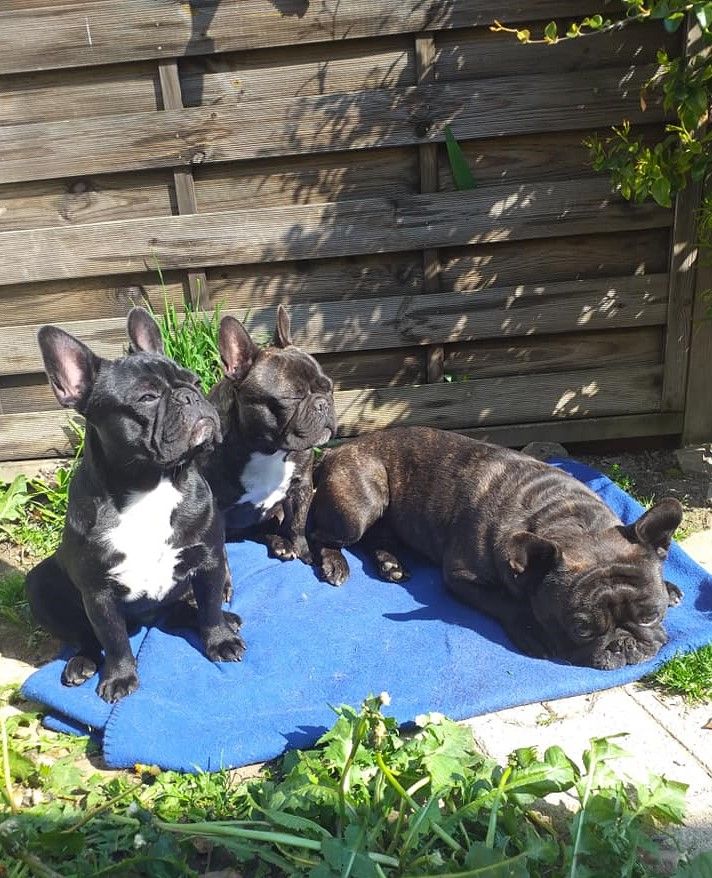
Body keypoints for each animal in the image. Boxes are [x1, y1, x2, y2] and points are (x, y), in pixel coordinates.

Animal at [310, 426, 684, 668]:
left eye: (652, 615)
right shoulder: (462, 576)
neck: (566, 517)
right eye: (581, 629)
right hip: (360, 507)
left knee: (377, 537)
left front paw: (669, 586)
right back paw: (334, 563)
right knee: (317, 532)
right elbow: (506, 602)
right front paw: (533, 632)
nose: (623, 645)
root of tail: (335, 451)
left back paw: (391, 562)